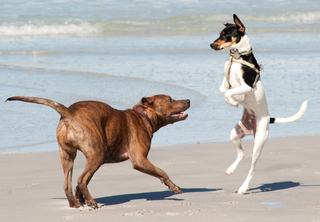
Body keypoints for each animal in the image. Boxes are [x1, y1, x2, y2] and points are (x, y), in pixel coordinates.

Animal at [6, 95, 190, 208]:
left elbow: (81, 184)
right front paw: (174, 187)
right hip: (96, 155)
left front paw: (81, 198)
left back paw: (76, 204)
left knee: (69, 183)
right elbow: (162, 171)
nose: (188, 99)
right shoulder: (140, 160)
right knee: (81, 179)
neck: (142, 117)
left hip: (68, 156)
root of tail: (69, 112)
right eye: (170, 99)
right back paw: (92, 202)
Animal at [210, 13, 308, 194]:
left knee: (252, 168)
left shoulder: (246, 87)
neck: (238, 58)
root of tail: (268, 119)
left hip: (259, 144)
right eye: (220, 34)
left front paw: (232, 102)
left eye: (225, 35)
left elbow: (228, 92)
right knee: (242, 154)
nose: (211, 44)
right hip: (235, 134)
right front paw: (230, 101)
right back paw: (231, 169)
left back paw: (243, 187)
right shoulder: (226, 80)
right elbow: (222, 89)